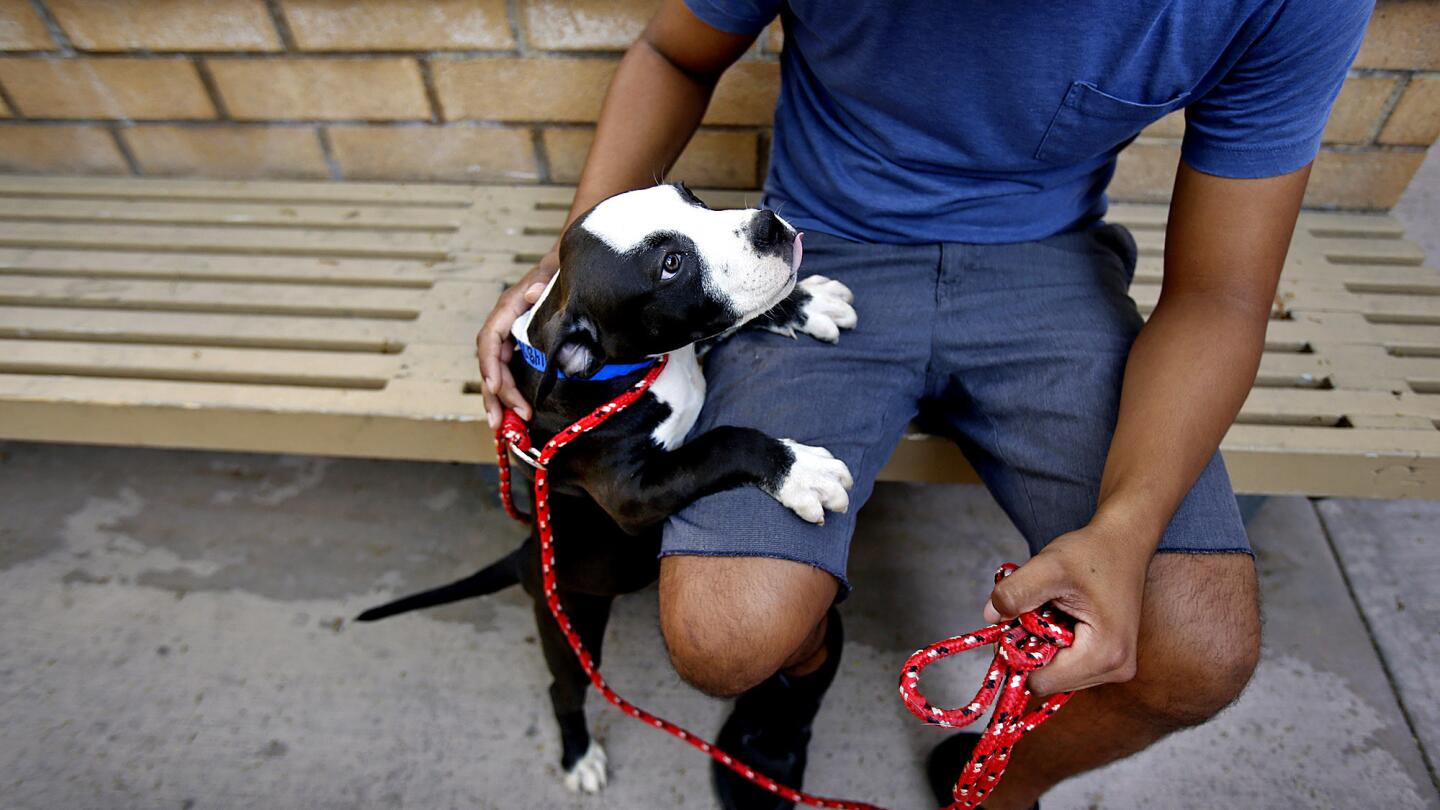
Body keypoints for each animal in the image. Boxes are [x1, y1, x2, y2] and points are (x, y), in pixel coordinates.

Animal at [358, 181, 852, 789]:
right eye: (670, 265)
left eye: (691, 196)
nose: (768, 227)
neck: (631, 369)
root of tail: (526, 557)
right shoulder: (632, 497)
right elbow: (720, 443)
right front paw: (798, 469)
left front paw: (804, 304)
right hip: (571, 628)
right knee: (563, 689)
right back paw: (579, 755)